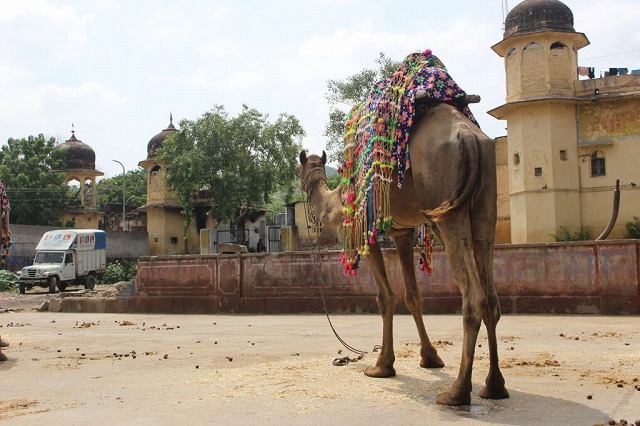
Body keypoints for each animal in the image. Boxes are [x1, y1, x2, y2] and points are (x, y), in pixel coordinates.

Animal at [298, 101, 510, 404]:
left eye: (298, 169)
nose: (302, 186)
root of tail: (469, 137)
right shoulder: (402, 231)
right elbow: (413, 296)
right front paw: (430, 357)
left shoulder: (366, 229)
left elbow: (385, 297)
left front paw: (382, 366)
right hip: (485, 201)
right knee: (491, 290)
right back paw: (494, 387)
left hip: (445, 201)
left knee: (473, 296)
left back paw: (456, 392)